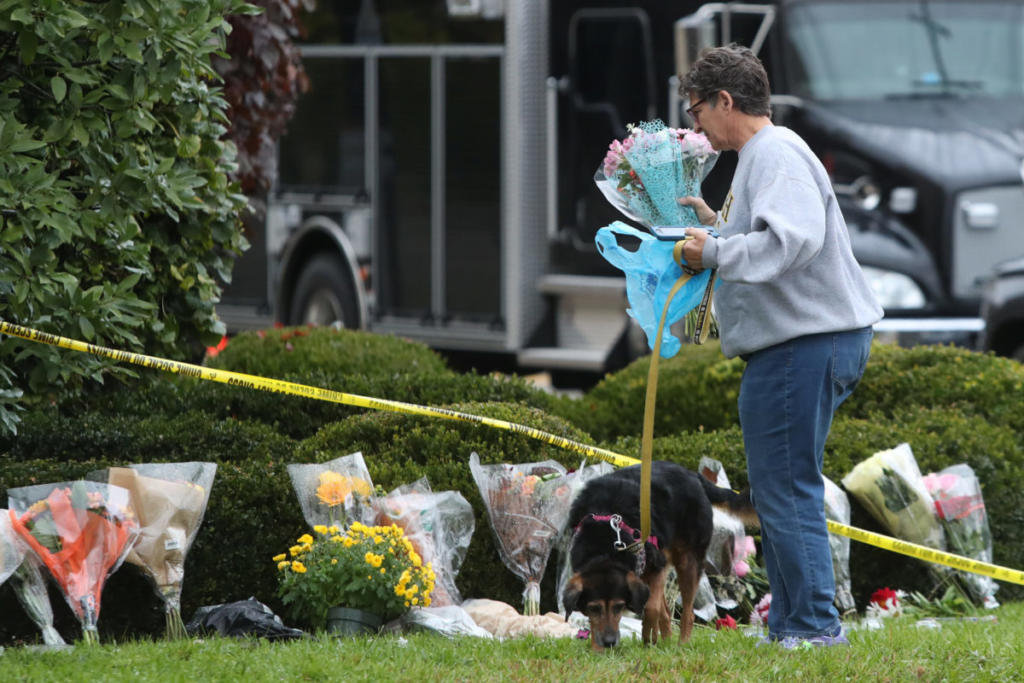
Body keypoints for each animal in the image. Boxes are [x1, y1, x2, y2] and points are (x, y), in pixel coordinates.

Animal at [561, 462, 753, 651]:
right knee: (667, 611)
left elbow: (651, 608)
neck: (604, 548)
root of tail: (693, 475)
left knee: (687, 613)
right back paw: (666, 643)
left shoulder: (656, 567)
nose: (609, 642)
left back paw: (681, 644)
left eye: (619, 606)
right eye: (593, 608)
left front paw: (649, 635)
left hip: (687, 561)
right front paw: (597, 648)